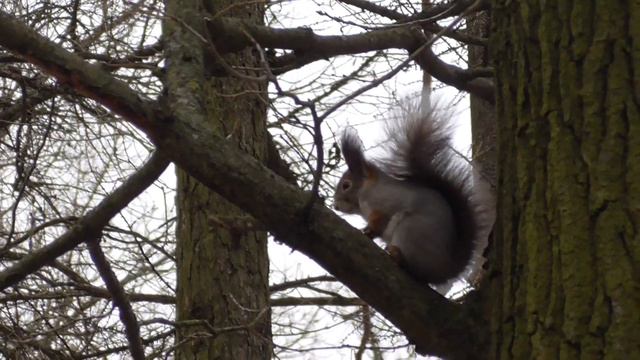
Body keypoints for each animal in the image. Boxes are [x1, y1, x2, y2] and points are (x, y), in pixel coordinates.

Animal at [336, 105, 480, 286]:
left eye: (346, 185)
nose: (335, 205)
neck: (366, 194)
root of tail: (444, 270)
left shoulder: (386, 204)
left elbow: (380, 221)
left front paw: (368, 231)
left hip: (410, 230)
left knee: (415, 268)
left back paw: (397, 256)